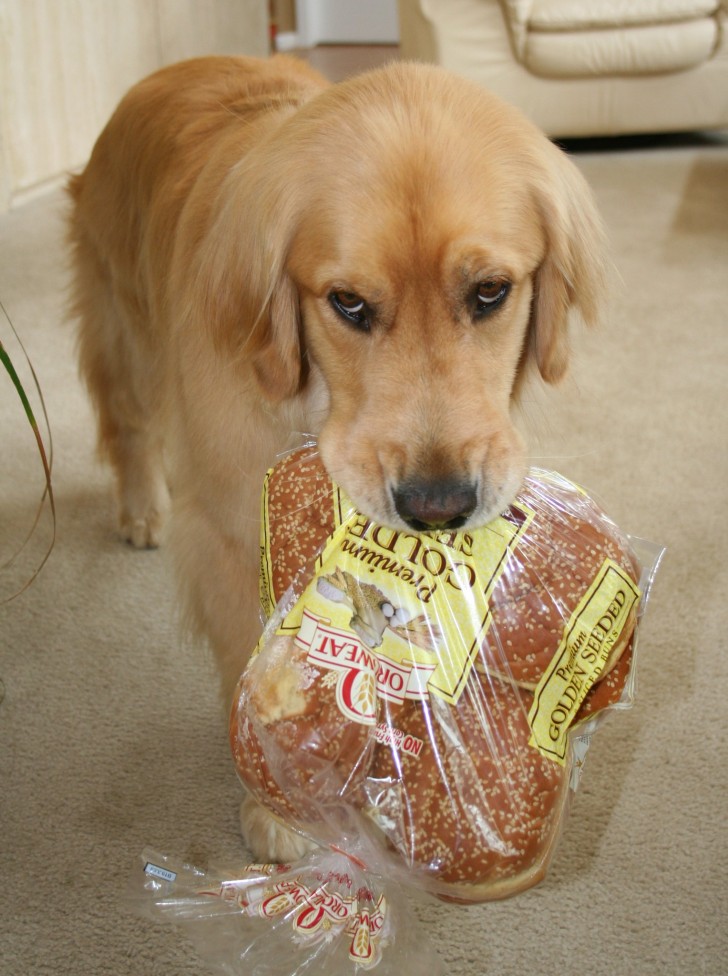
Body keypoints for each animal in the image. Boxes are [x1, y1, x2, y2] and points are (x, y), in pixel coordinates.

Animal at [67, 55, 604, 860]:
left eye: (490, 291)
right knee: (128, 421)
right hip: (124, 322)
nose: (439, 507)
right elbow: (253, 657)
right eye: (347, 303)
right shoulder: (232, 521)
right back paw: (140, 507)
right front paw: (283, 806)